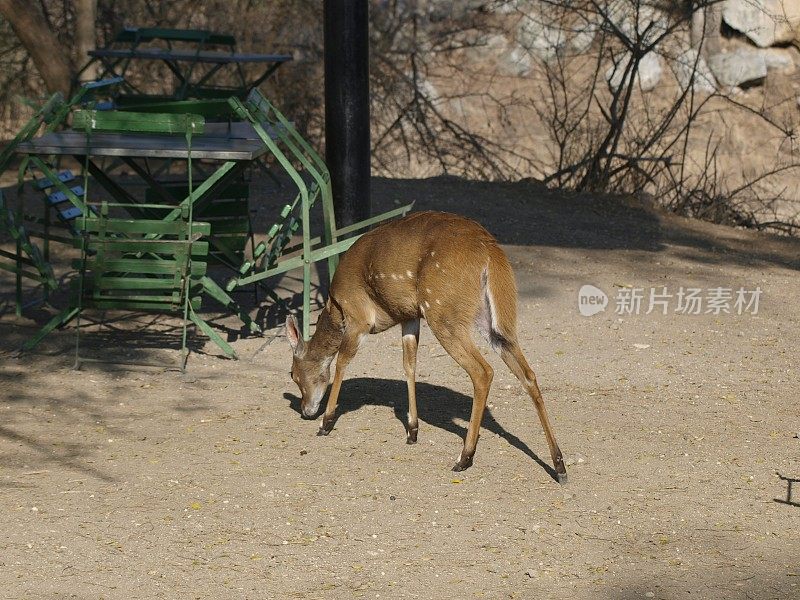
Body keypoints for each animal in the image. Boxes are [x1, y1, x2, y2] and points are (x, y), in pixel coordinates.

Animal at [284, 211, 564, 482]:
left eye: (294, 375)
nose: (306, 411)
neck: (335, 306)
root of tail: (490, 252)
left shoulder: (358, 317)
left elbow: (342, 361)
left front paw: (326, 423)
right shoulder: (409, 317)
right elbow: (409, 365)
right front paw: (412, 431)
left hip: (443, 312)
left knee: (483, 371)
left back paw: (464, 458)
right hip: (493, 321)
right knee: (527, 373)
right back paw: (559, 466)